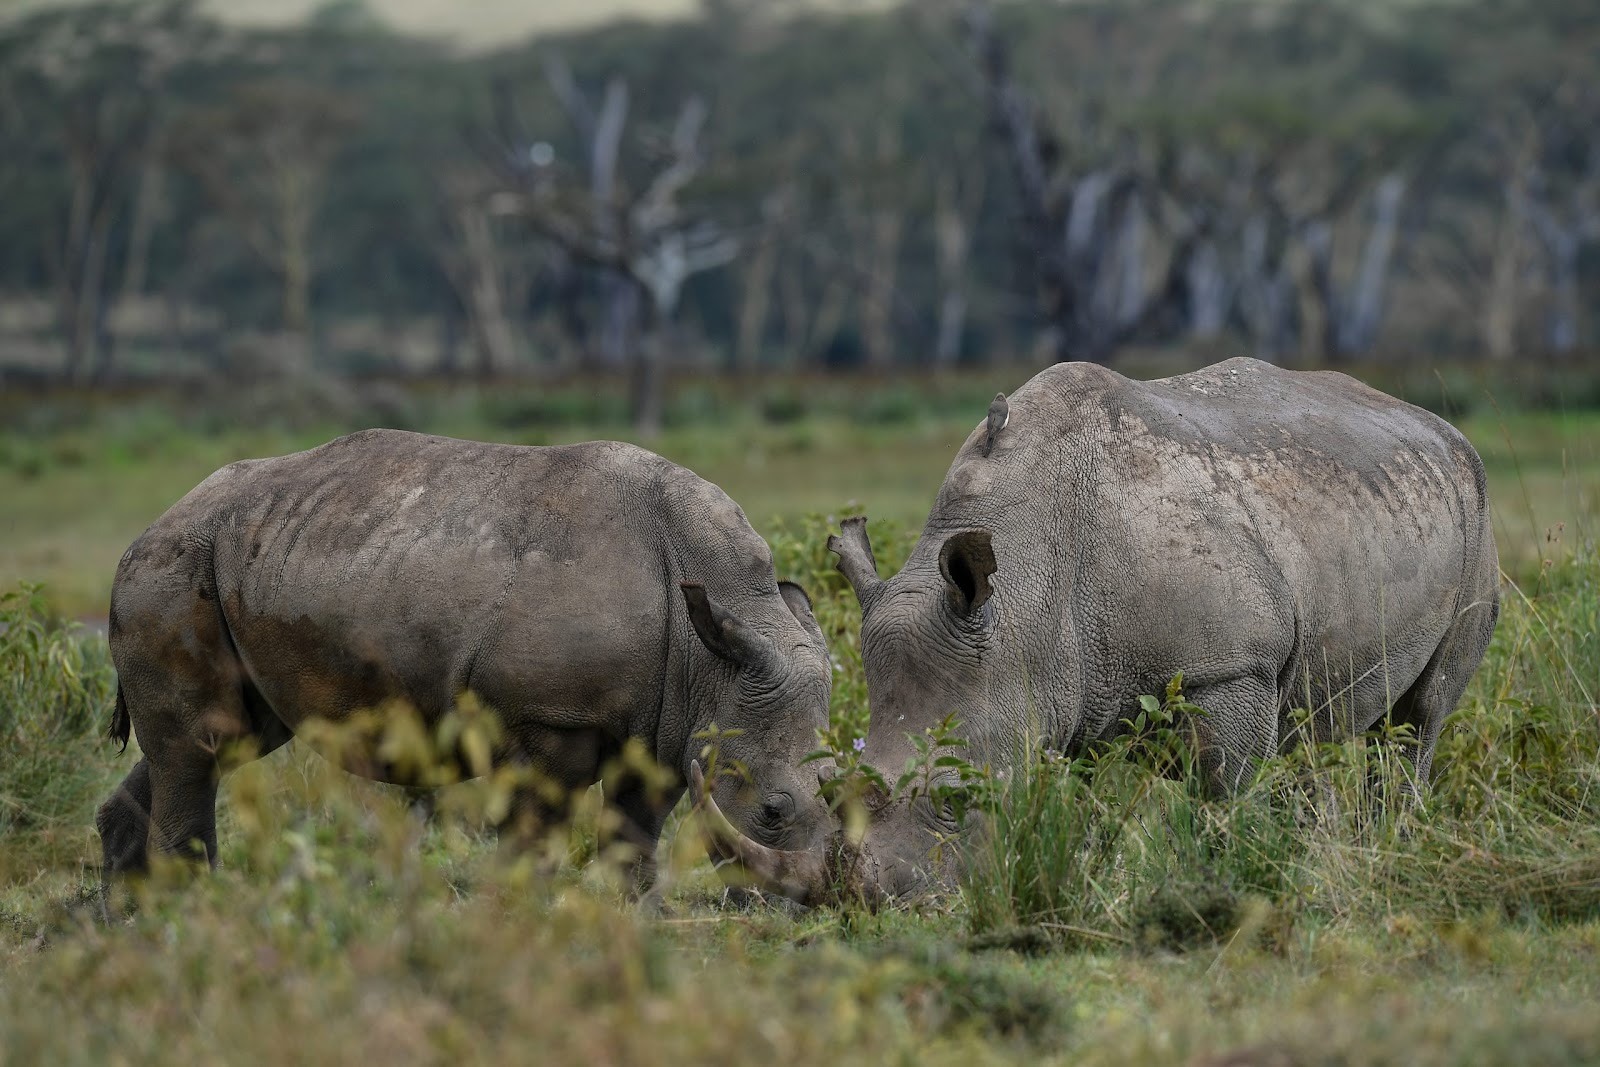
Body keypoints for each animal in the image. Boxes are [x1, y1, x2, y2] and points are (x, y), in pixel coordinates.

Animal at [96, 429, 835, 895]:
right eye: (772, 811)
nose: (812, 903)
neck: (709, 648)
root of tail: (154, 525)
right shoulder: (552, 717)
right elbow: (534, 838)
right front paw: (518, 920)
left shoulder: (669, 723)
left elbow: (634, 839)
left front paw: (632, 926)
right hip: (172, 569)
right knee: (201, 744)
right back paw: (190, 916)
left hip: (247, 560)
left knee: (218, 742)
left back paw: (132, 927)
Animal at [703, 358, 1501, 901]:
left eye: (956, 799)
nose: (870, 904)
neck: (1026, 590)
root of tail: (1438, 426)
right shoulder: (1069, 683)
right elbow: (1080, 804)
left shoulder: (1229, 667)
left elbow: (1228, 792)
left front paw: (1233, 875)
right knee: (1319, 723)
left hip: (1475, 509)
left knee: (1421, 717)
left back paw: (1398, 841)